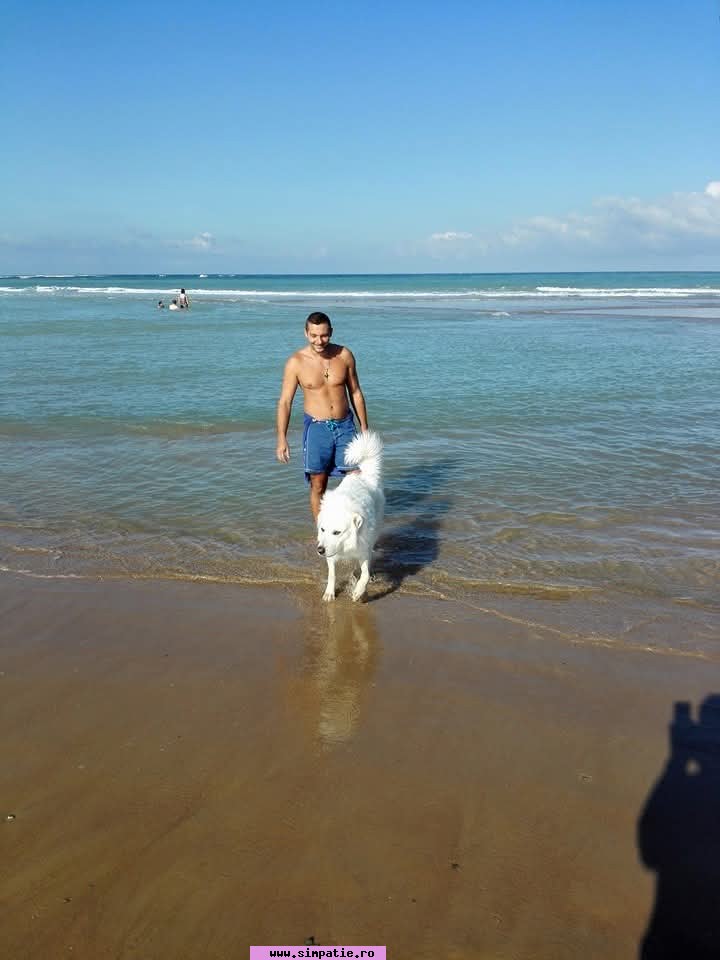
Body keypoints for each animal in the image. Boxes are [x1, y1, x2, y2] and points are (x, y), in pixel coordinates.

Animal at [316, 430, 384, 602]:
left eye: (337, 532)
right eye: (322, 530)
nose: (319, 550)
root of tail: (364, 474)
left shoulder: (363, 549)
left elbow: (365, 575)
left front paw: (358, 592)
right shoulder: (331, 552)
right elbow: (332, 574)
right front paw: (329, 593)